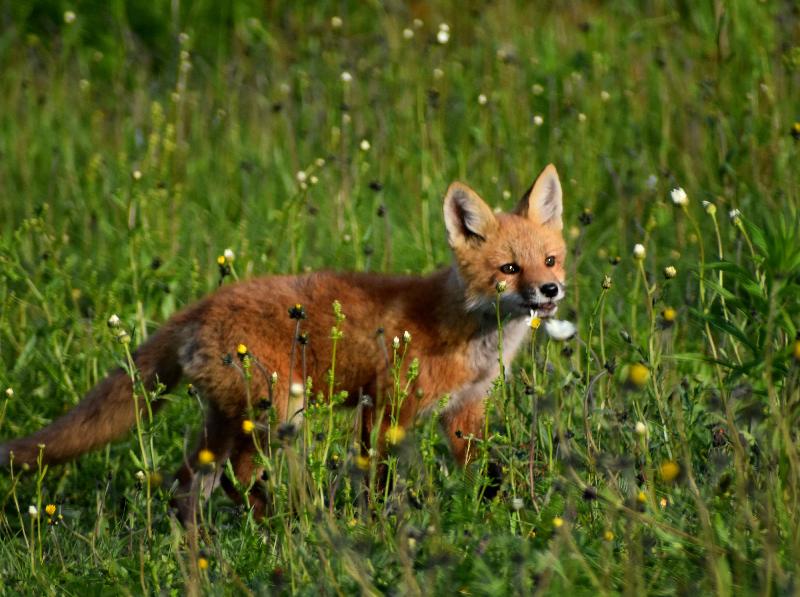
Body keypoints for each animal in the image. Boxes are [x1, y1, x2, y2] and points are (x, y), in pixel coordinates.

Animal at [0, 162, 564, 516]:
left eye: (550, 259)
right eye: (509, 269)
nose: (551, 290)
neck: (466, 330)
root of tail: (203, 303)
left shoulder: (465, 414)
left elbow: (488, 474)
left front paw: (500, 513)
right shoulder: (385, 409)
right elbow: (379, 481)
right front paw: (382, 529)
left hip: (230, 419)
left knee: (189, 483)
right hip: (276, 412)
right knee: (239, 476)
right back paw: (287, 524)